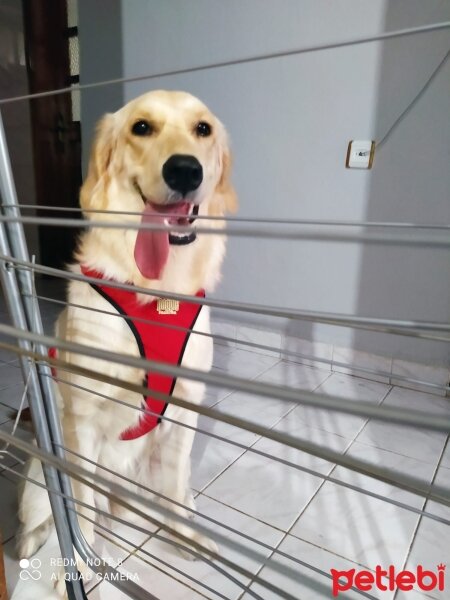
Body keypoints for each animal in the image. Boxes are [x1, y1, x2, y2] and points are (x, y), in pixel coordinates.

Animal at [16, 90, 237, 596]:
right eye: (141, 128)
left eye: (202, 129)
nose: (185, 170)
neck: (156, 294)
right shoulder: (83, 419)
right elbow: (78, 504)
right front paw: (75, 565)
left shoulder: (184, 411)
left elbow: (175, 488)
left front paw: (185, 538)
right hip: (41, 472)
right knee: (42, 519)